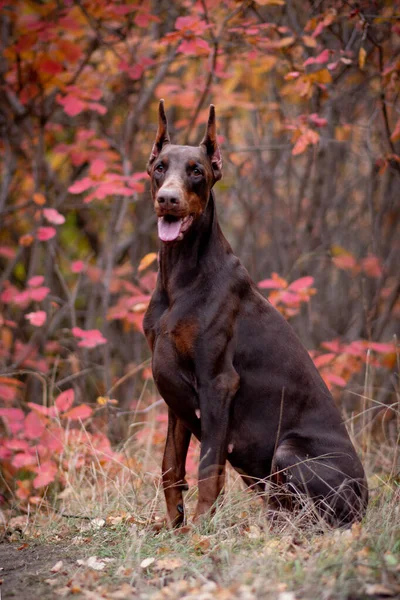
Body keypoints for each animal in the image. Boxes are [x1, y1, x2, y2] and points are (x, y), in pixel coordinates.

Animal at [144, 101, 368, 528]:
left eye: (196, 171)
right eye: (160, 167)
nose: (167, 199)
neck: (180, 275)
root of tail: (365, 499)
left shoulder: (217, 383)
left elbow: (208, 469)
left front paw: (201, 530)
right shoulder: (173, 388)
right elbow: (170, 467)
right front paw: (175, 527)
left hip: (290, 452)